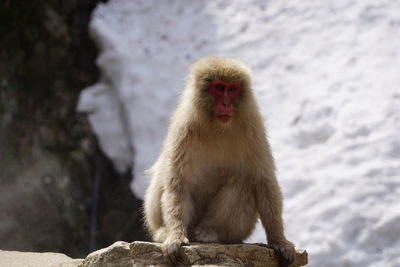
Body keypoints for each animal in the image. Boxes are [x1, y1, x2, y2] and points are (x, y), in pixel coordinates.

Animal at [145, 57, 296, 266]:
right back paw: (164, 231)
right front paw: (175, 236)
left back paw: (210, 231)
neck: (217, 127)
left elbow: (263, 181)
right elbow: (178, 184)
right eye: (218, 87)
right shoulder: (184, 129)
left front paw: (279, 241)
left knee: (245, 180)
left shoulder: (253, 128)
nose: (225, 104)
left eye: (232, 89)